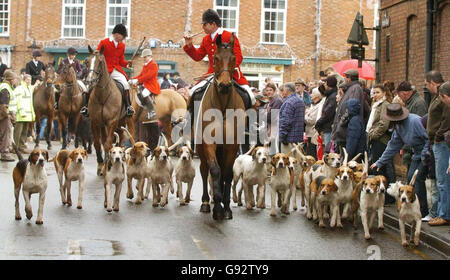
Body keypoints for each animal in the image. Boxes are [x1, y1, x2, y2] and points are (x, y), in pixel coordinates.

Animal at [85, 44, 126, 176]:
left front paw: (107, 164)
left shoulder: (112, 122)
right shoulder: (95, 122)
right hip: (103, 125)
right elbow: (98, 144)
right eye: (87, 61)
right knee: (103, 141)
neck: (103, 95)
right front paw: (100, 165)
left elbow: (108, 144)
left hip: (121, 121)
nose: (90, 81)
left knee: (121, 137)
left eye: (100, 62)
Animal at [196, 34, 246, 220]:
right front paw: (217, 205)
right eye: (216, 58)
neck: (223, 106)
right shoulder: (209, 143)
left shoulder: (232, 146)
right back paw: (205, 202)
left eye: (233, 58)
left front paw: (226, 207)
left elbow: (227, 173)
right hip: (200, 148)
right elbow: (215, 170)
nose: (224, 85)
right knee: (204, 170)